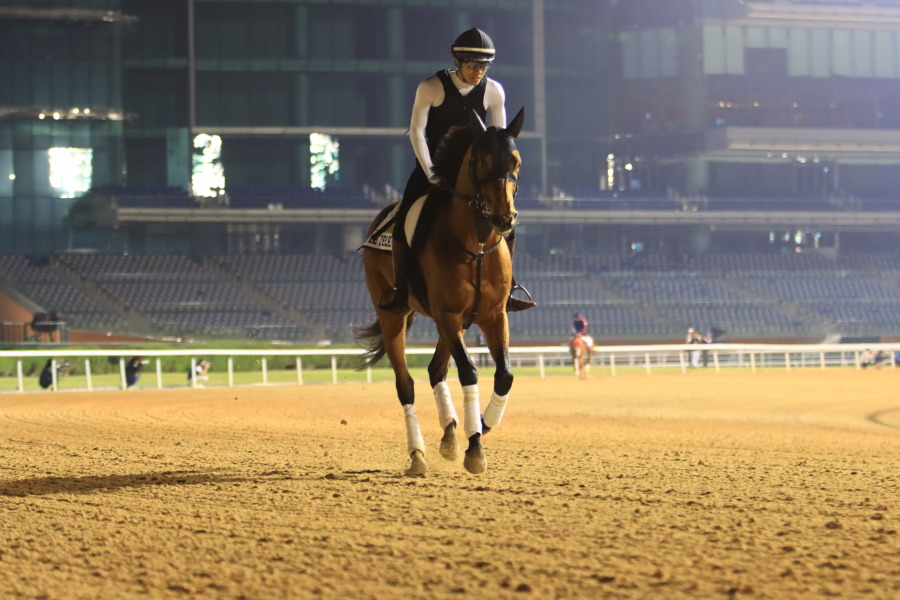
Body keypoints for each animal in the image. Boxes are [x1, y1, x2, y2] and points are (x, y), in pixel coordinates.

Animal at [356, 106, 528, 474]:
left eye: (516, 160)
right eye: (480, 159)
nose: (504, 218)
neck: (477, 245)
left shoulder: (492, 315)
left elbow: (504, 375)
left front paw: (482, 424)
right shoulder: (446, 314)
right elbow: (469, 371)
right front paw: (474, 446)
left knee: (435, 370)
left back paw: (450, 433)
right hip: (394, 315)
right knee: (405, 384)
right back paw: (418, 454)